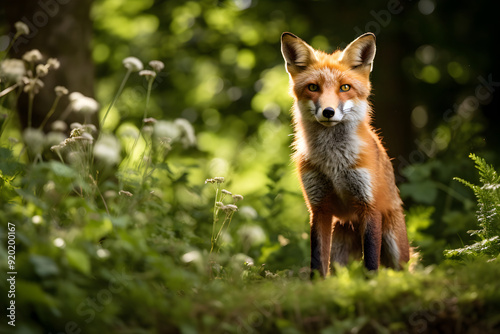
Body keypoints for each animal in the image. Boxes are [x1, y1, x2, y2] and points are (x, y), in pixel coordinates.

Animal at [282, 32, 410, 276]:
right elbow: (317, 261)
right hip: (339, 249)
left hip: (394, 245)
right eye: (313, 87)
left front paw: (371, 283)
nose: (328, 112)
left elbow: (371, 262)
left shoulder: (369, 205)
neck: (334, 163)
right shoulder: (319, 208)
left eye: (345, 87)